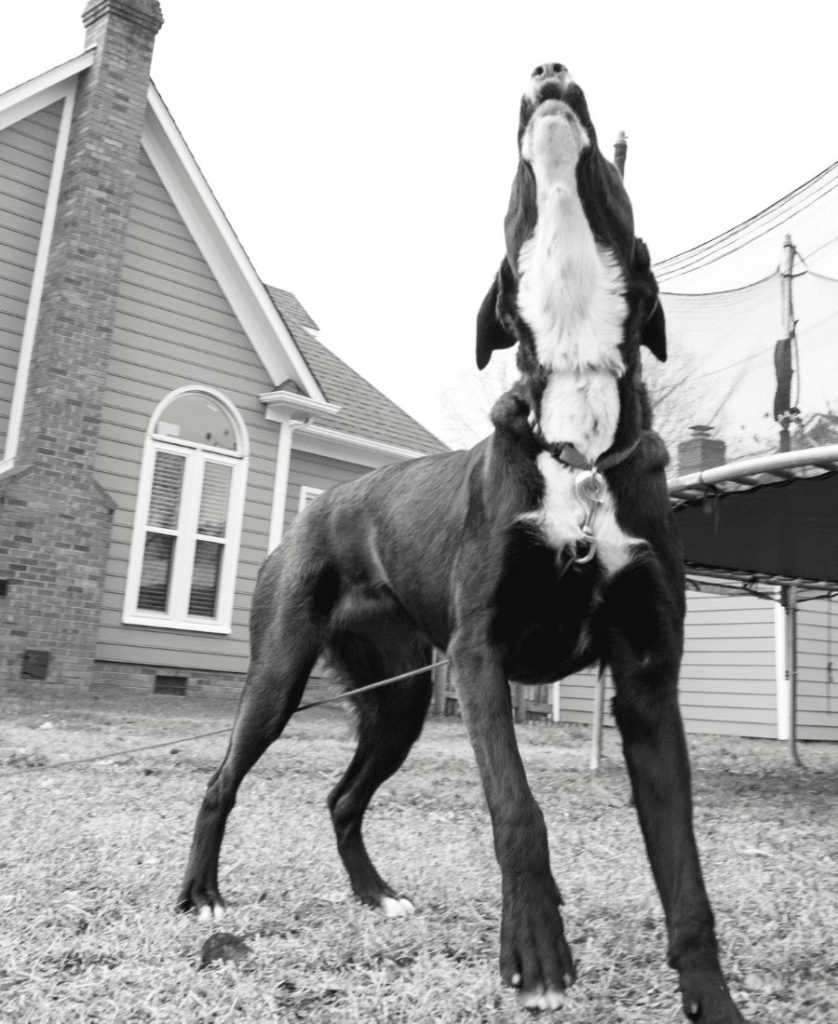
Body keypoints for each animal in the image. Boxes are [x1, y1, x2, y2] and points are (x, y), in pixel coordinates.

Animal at [181, 66, 745, 1024]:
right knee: (223, 780)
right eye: (516, 192)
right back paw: (200, 897)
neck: (577, 427)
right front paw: (536, 953)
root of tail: (318, 506)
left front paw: (711, 998)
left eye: (613, 178)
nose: (551, 72)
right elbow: (519, 811)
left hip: (401, 697)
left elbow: (686, 870)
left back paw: (376, 896)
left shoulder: (646, 680)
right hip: (280, 674)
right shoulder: (483, 656)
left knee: (342, 797)